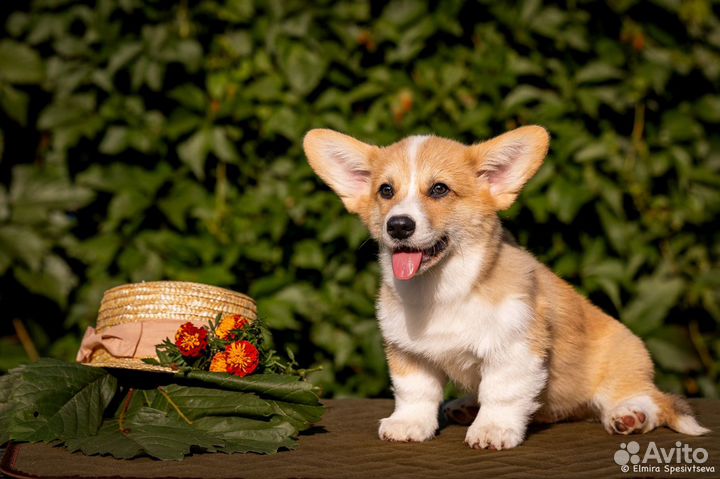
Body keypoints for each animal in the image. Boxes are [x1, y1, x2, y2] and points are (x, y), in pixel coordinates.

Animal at [302, 126, 708, 450]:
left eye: (439, 189)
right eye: (386, 190)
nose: (398, 225)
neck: (443, 288)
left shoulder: (516, 350)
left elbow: (502, 393)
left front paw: (493, 430)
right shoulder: (409, 353)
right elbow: (414, 392)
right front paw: (409, 424)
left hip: (622, 362)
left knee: (648, 399)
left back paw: (630, 415)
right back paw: (467, 405)